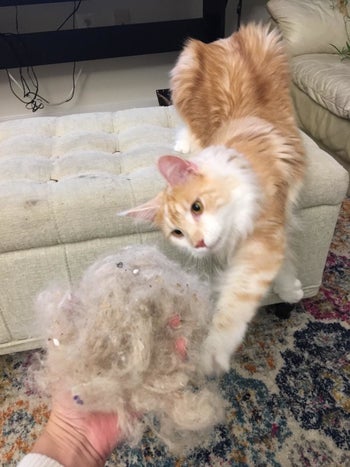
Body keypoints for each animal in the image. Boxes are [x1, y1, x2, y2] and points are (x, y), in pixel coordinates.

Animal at [121, 23, 306, 376]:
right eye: (177, 233)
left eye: (197, 207)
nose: (198, 243)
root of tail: (220, 40)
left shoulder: (267, 233)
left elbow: (237, 300)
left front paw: (211, 353)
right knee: (189, 126)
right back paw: (186, 144)